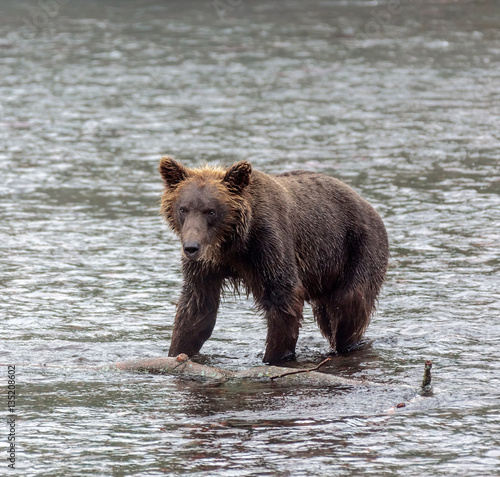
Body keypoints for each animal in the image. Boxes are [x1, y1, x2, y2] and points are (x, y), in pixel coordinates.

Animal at [158, 155, 388, 360]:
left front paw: (273, 357)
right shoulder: (207, 266)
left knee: (350, 303)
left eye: (211, 211)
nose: (191, 247)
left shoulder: (267, 245)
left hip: (358, 247)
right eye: (183, 209)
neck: (232, 243)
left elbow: (283, 297)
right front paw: (178, 351)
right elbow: (197, 308)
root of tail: (368, 205)